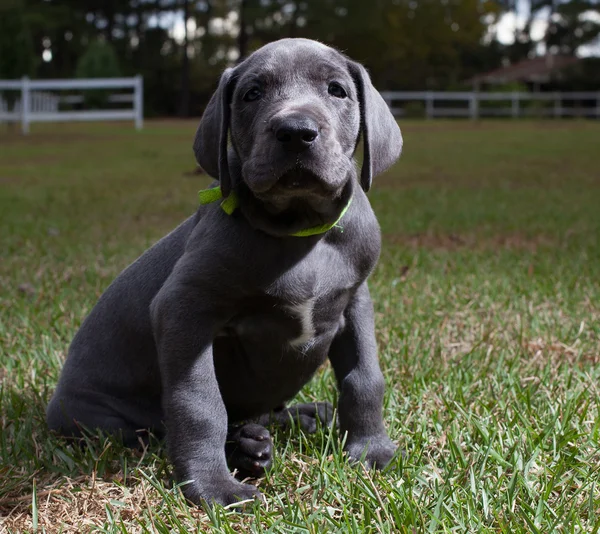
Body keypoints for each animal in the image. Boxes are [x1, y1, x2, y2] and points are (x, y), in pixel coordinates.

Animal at [47, 37, 404, 506]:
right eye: (252, 93)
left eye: (337, 90)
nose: (295, 131)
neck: (300, 231)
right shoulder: (184, 309)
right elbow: (200, 402)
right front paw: (212, 486)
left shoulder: (355, 300)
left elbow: (365, 378)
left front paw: (371, 449)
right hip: (101, 419)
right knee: (157, 432)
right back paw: (246, 449)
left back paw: (298, 420)